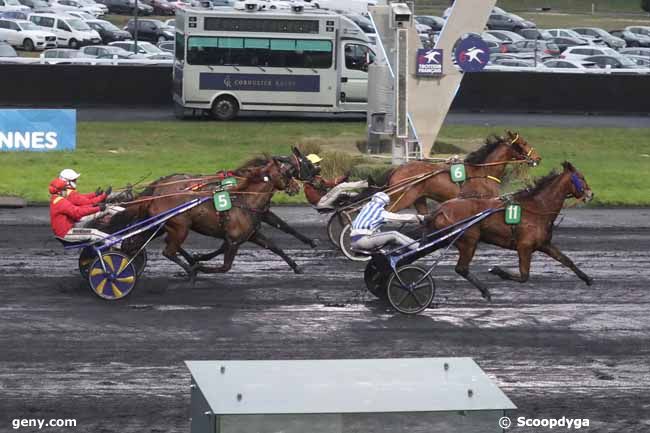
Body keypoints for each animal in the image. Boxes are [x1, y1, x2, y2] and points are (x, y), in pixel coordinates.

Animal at [111, 159, 304, 276]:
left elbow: (275, 247)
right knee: (168, 251)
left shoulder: (251, 234)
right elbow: (225, 266)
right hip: (180, 228)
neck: (244, 199)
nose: (297, 187)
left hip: (162, 226)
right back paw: (190, 271)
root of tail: (157, 192)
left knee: (139, 243)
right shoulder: (234, 240)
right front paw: (199, 266)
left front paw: (296, 266)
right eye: (288, 173)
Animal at [382, 131, 540, 213]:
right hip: (403, 198)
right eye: (524, 143)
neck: (483, 171)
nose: (537, 158)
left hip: (419, 199)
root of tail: (397, 169)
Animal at [428, 161, 588, 300]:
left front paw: (588, 279)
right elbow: (524, 276)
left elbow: (566, 260)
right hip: (468, 240)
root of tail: (441, 209)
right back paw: (485, 291)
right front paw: (498, 271)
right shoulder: (524, 246)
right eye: (581, 177)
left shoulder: (544, 244)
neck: (538, 208)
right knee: (461, 268)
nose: (590, 194)